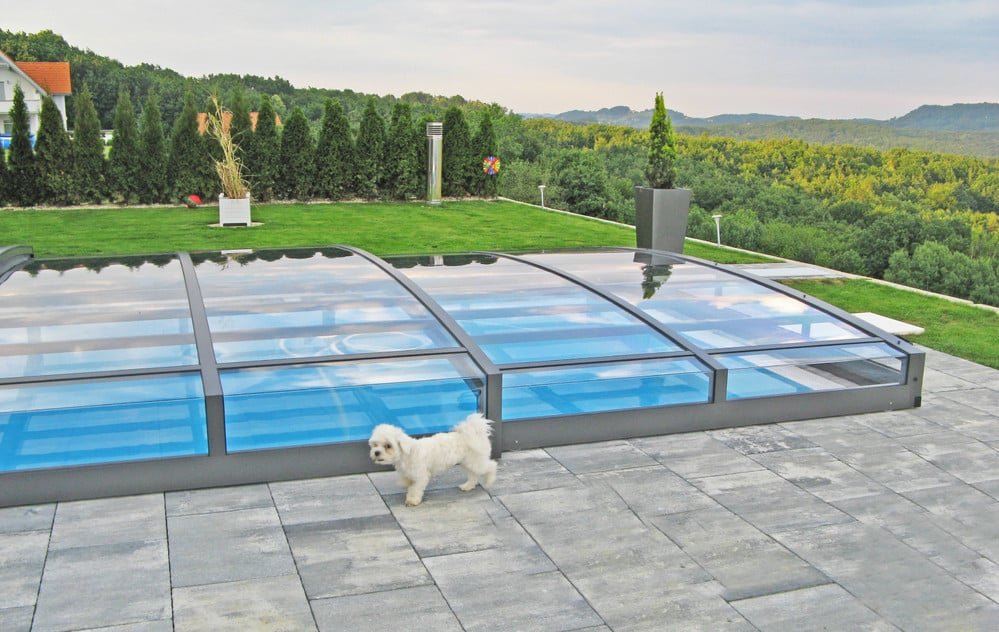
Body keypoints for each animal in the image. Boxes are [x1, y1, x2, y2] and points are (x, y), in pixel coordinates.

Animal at [368, 413, 498, 506]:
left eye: (388, 446)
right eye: (375, 445)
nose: (376, 452)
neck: (408, 453)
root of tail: (474, 433)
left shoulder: (421, 476)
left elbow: (415, 489)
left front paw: (412, 500)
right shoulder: (408, 472)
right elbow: (407, 481)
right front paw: (405, 484)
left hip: (476, 461)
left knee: (491, 466)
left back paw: (489, 481)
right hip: (469, 462)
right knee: (473, 475)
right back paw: (467, 486)